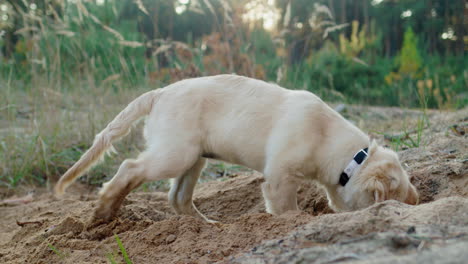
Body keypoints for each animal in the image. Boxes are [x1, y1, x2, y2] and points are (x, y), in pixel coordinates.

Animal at [54, 74, 416, 221]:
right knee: (130, 168)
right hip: (175, 154)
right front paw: (292, 222)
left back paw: (209, 228)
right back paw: (104, 211)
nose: (418, 201)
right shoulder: (280, 178)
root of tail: (159, 93)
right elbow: (287, 210)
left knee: (178, 198)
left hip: (194, 158)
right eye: (397, 199)